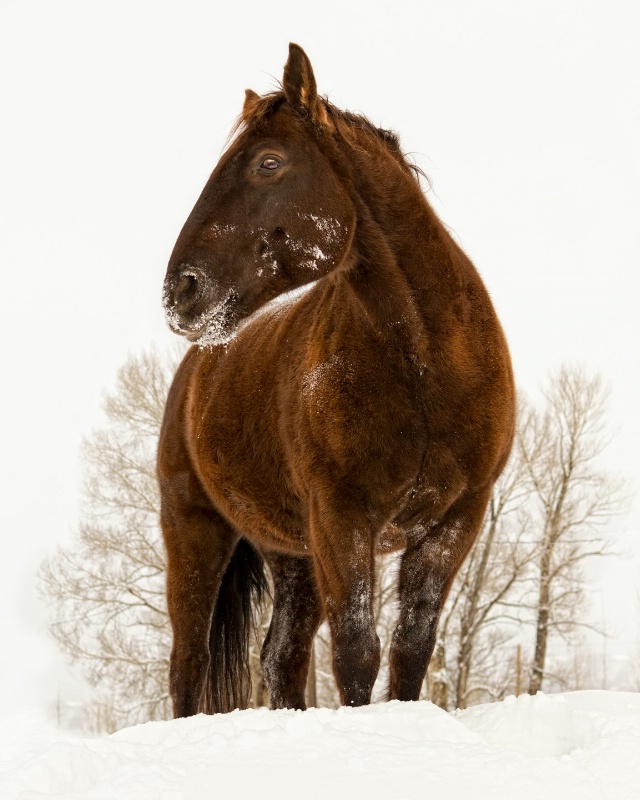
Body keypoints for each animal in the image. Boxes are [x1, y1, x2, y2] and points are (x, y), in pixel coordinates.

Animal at [159, 42, 516, 720]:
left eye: (269, 162)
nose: (180, 291)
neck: (423, 365)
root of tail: (197, 366)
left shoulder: (454, 520)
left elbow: (410, 648)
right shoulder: (342, 517)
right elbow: (357, 651)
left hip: (293, 557)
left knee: (281, 657)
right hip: (195, 530)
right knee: (188, 662)